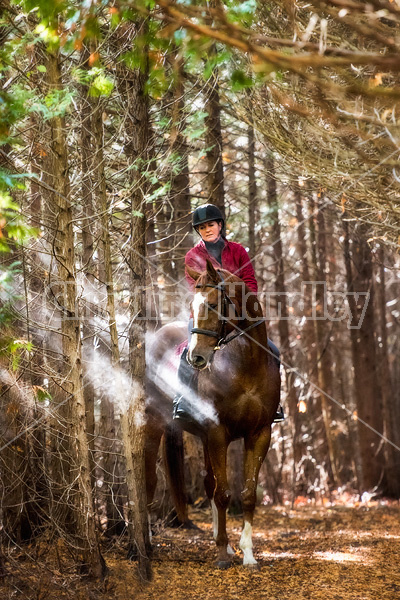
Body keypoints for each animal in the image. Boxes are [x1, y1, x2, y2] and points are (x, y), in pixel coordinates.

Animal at [145, 258, 282, 568]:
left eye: (212, 304)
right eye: (192, 306)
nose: (196, 357)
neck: (246, 363)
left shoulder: (259, 433)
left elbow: (247, 494)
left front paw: (247, 554)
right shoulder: (218, 432)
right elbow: (223, 494)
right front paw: (221, 554)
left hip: (204, 436)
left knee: (208, 482)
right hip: (154, 422)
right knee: (149, 478)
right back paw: (144, 541)